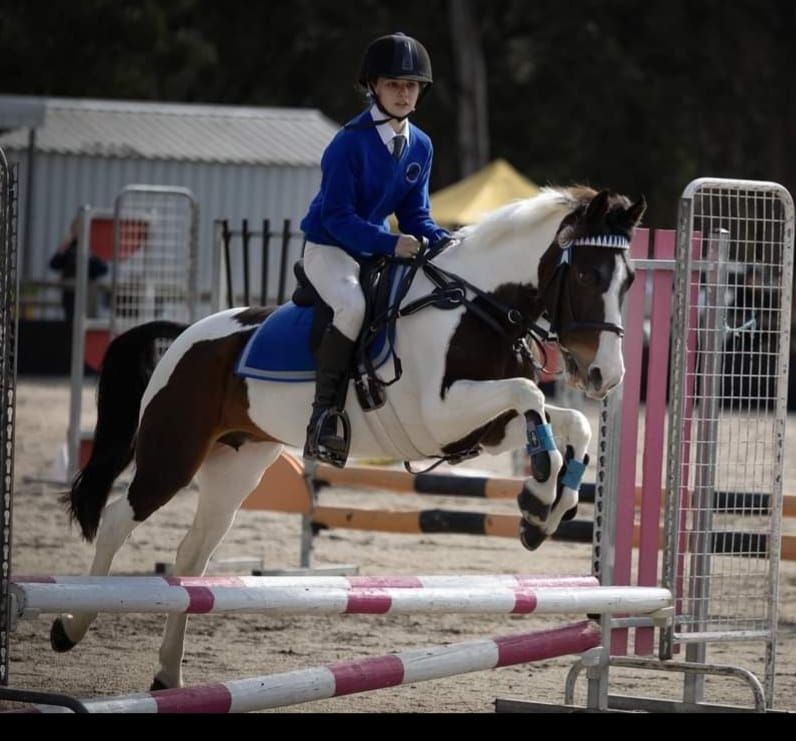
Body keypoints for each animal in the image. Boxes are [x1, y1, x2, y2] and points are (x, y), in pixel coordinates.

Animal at [52, 185, 644, 688]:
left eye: (630, 282)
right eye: (587, 276)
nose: (606, 376)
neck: (477, 306)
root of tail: (185, 334)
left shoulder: (483, 427)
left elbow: (568, 420)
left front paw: (545, 508)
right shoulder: (442, 413)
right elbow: (530, 394)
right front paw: (540, 488)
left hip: (236, 466)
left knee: (192, 557)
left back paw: (167, 676)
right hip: (174, 455)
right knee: (117, 520)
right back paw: (70, 627)